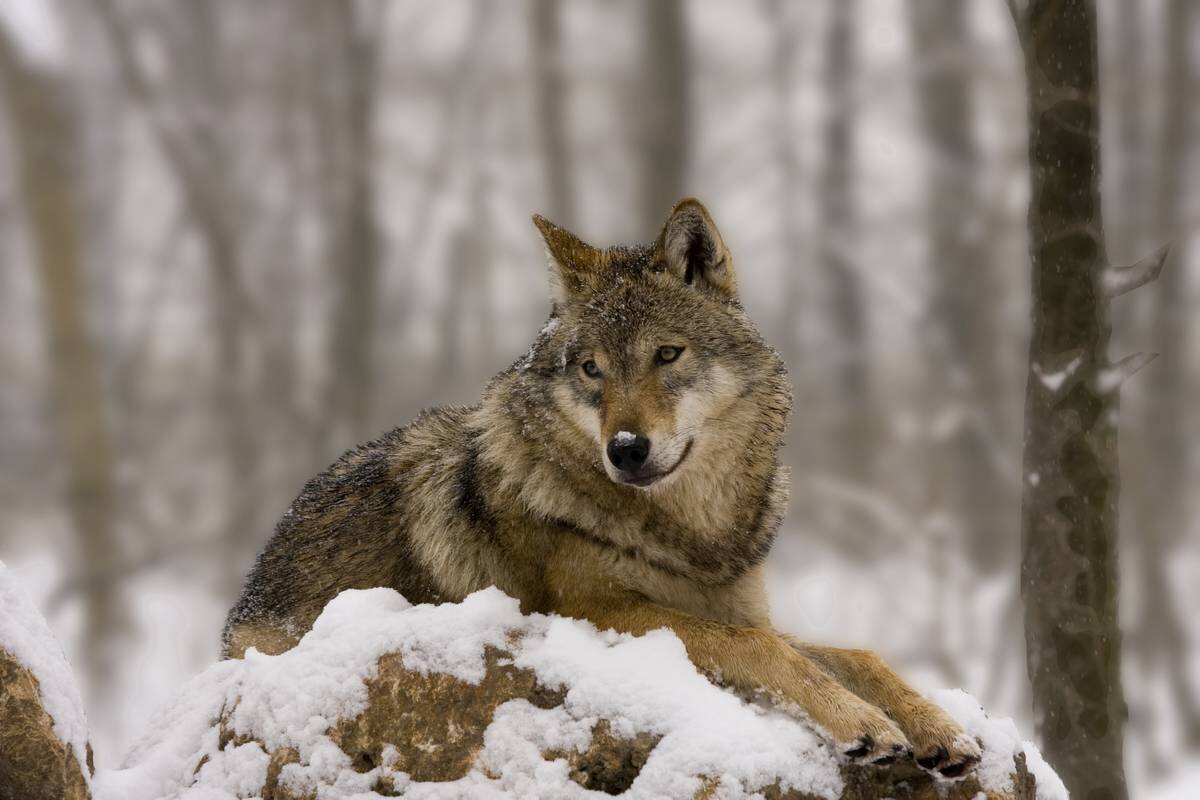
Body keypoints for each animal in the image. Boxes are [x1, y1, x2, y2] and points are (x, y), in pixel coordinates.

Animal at [225, 199, 984, 777]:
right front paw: (863, 723)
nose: (625, 449)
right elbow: (762, 650)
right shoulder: (603, 614)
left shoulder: (738, 607)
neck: (693, 533)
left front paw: (937, 726)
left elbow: (855, 653)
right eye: (591, 368)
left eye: (667, 355)